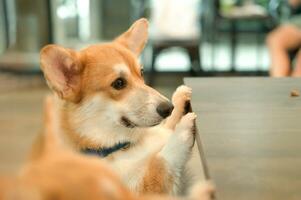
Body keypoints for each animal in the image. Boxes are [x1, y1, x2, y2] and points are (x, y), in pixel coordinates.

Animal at [0, 96, 213, 199]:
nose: (165, 106)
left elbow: (167, 126)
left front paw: (180, 98)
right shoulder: (145, 185)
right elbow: (164, 156)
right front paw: (184, 127)